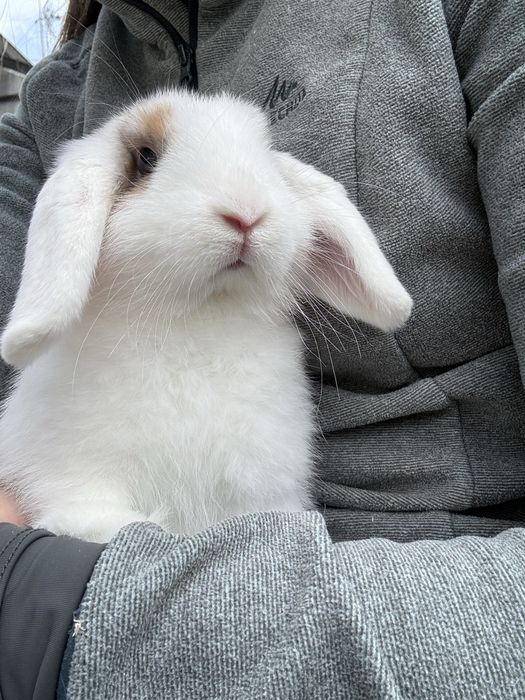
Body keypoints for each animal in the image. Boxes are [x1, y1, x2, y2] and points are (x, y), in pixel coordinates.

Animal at [0, 89, 412, 543]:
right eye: (146, 157)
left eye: (265, 153)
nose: (246, 212)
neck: (198, 318)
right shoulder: (72, 475)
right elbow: (93, 515)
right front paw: (114, 526)